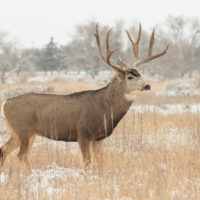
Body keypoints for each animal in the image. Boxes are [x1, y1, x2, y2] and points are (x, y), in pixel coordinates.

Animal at [0, 23, 169, 170]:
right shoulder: (84, 133)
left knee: (4, 150)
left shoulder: (98, 138)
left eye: (140, 74)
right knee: (21, 155)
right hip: (24, 130)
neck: (104, 107)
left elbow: (101, 163)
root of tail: (5, 103)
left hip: (17, 132)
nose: (147, 85)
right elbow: (87, 163)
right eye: (130, 77)